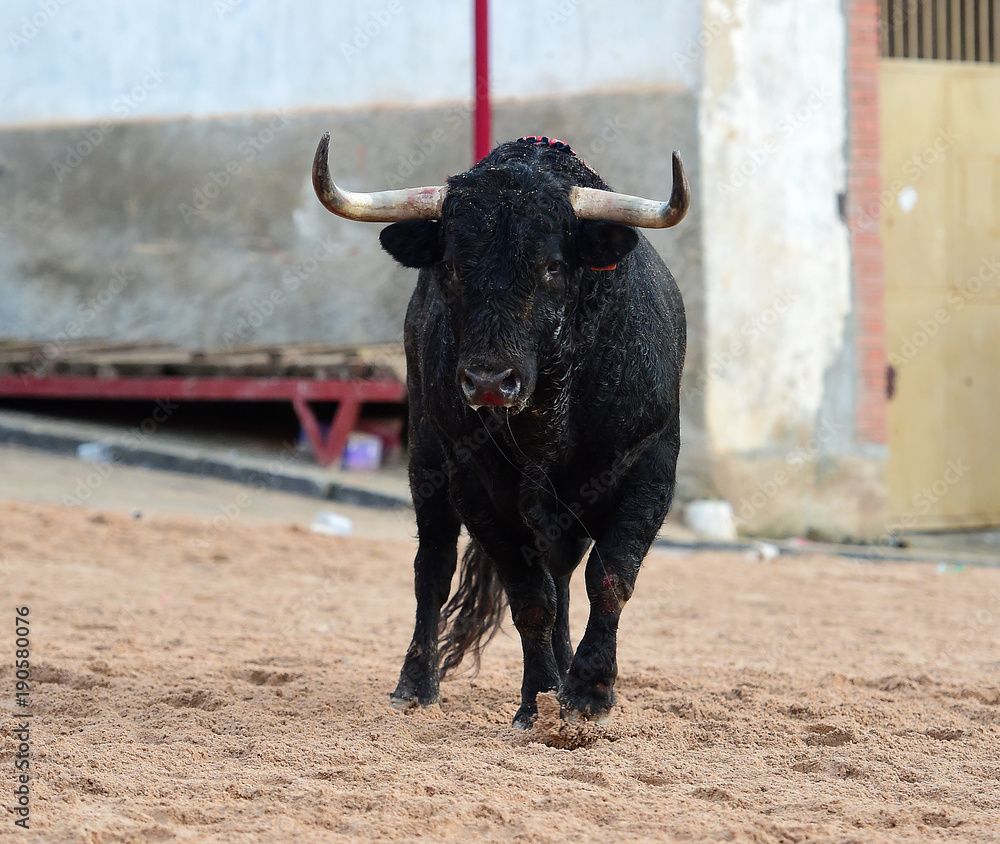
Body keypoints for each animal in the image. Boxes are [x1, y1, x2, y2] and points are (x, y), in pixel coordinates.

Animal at [312, 132, 688, 724]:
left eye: (553, 267)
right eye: (451, 268)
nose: (489, 381)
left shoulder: (650, 467)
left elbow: (608, 578)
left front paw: (587, 692)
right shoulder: (477, 487)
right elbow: (528, 597)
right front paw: (538, 697)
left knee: (563, 573)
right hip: (427, 461)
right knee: (433, 567)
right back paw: (415, 684)